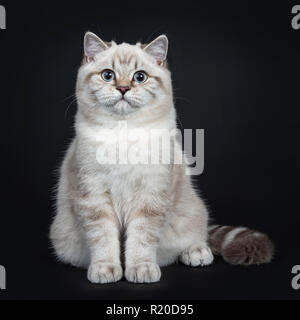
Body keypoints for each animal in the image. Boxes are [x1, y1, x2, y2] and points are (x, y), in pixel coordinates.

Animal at [49, 31, 274, 282]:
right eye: (108, 75)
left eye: (140, 77)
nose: (123, 88)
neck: (124, 132)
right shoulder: (93, 196)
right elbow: (103, 239)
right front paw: (105, 269)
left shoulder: (152, 195)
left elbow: (141, 239)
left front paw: (141, 269)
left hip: (191, 212)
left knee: (197, 237)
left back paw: (197, 253)